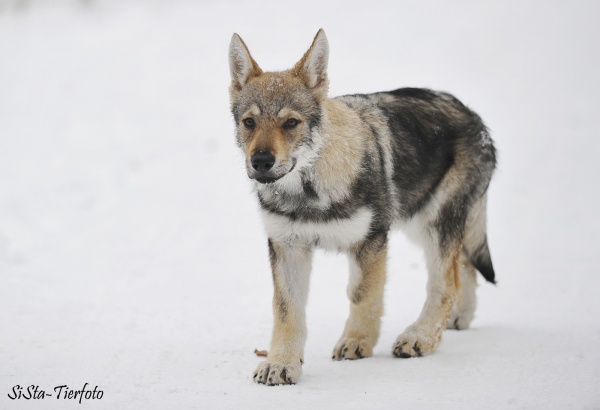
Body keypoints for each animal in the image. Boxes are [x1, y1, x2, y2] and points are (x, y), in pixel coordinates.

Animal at [227, 28, 494, 384]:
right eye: (249, 122)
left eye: (290, 123)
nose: (260, 162)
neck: (309, 187)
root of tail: (476, 119)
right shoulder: (287, 247)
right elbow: (286, 311)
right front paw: (281, 362)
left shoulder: (372, 241)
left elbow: (362, 294)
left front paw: (357, 342)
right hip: (420, 222)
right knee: (464, 266)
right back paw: (456, 319)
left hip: (432, 224)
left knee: (446, 282)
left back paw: (420, 337)